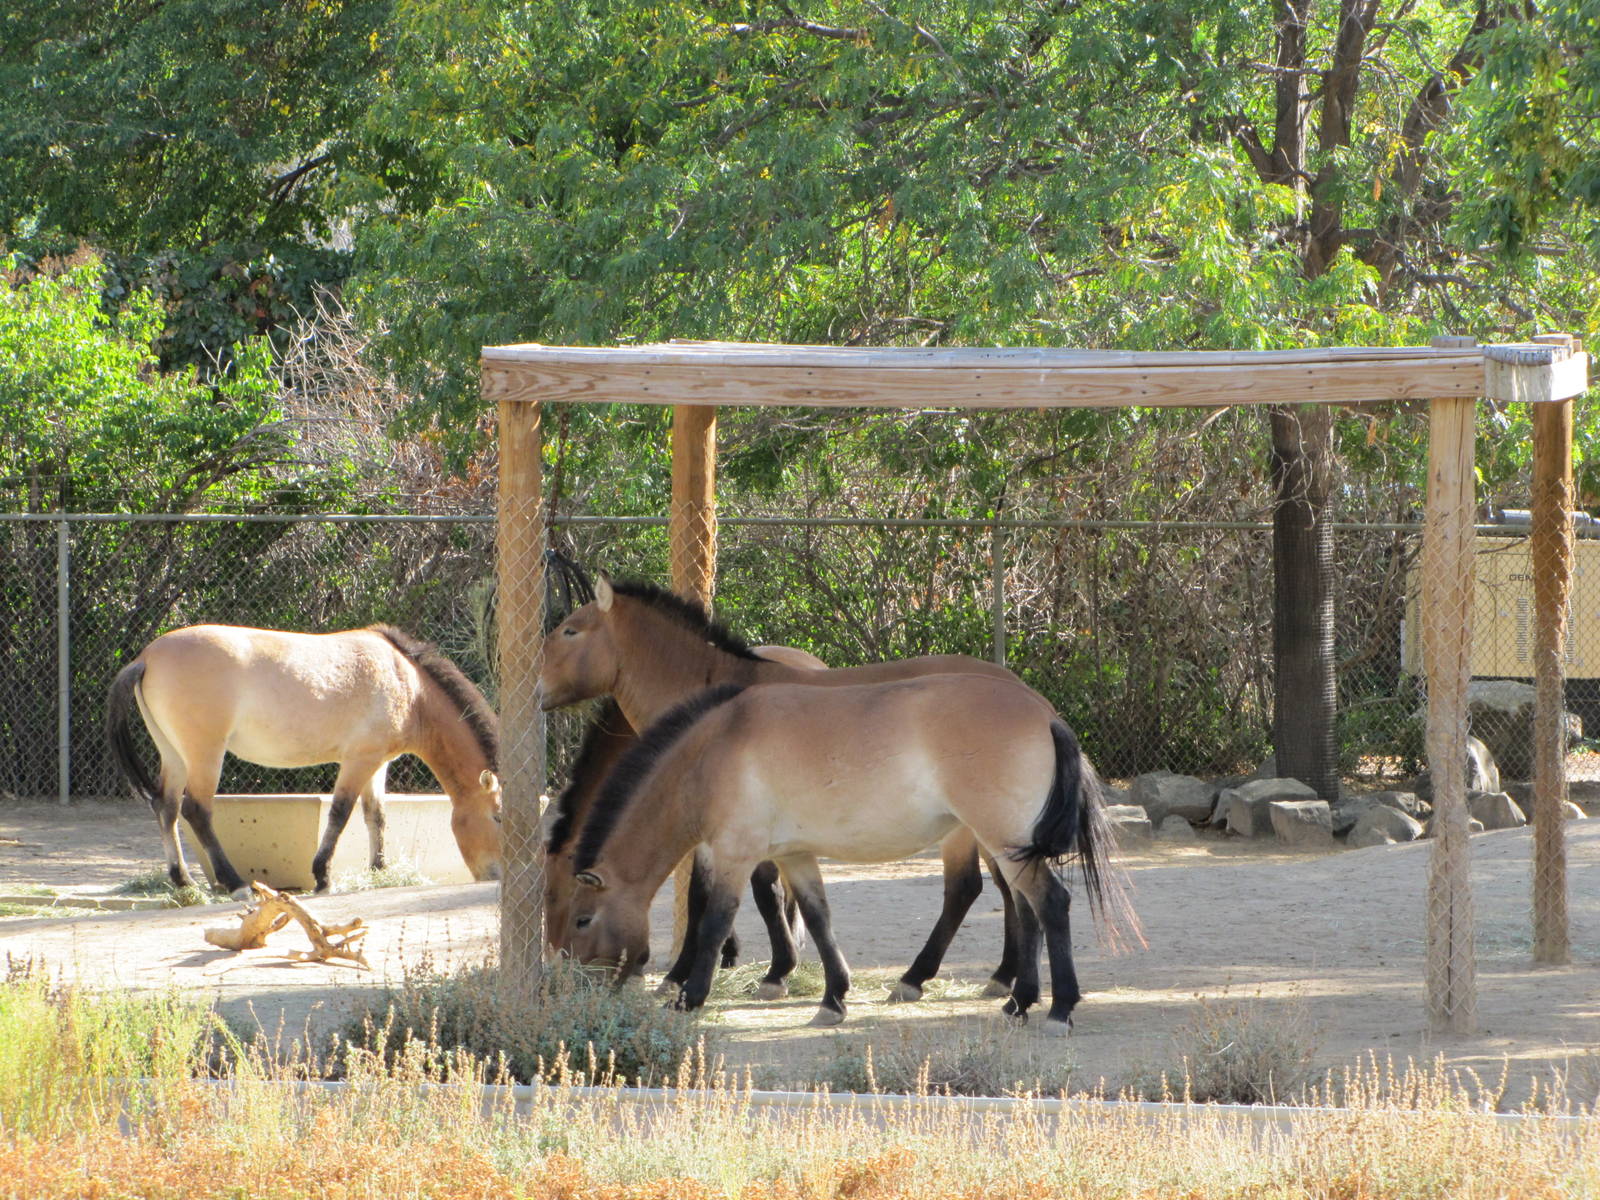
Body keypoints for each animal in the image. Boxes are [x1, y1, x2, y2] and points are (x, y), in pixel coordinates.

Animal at [105, 623, 501, 895]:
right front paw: (323, 877)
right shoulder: (359, 760)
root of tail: (146, 658)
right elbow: (341, 813)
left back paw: (184, 881)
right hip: (205, 754)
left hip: (174, 755)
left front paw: (379, 871)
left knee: (167, 807)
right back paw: (235, 884)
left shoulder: (378, 763)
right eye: (498, 815)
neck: (407, 682)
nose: (495, 875)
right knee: (196, 811)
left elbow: (376, 816)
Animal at [567, 677, 1124, 1034]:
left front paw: (690, 996)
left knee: (1050, 905)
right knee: (1028, 913)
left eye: (581, 920)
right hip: (1009, 846)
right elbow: (818, 920)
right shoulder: (794, 857)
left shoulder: (733, 856)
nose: (576, 990)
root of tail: (1044, 713)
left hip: (1005, 843)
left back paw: (1058, 1009)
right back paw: (1018, 1002)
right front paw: (834, 999)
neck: (714, 750)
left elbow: (713, 924)